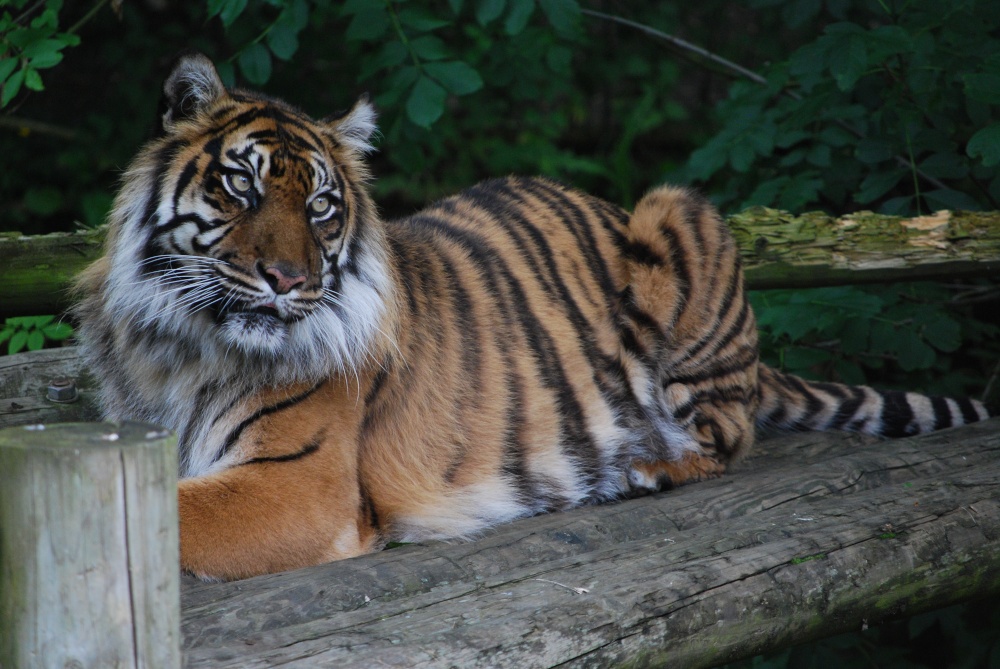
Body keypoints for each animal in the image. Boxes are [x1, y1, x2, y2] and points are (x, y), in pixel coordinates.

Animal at [74, 53, 993, 581]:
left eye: (323, 207)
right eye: (243, 186)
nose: (287, 279)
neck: (177, 342)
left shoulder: (296, 483)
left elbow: (173, 518)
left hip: (679, 211)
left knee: (727, 438)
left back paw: (643, 468)